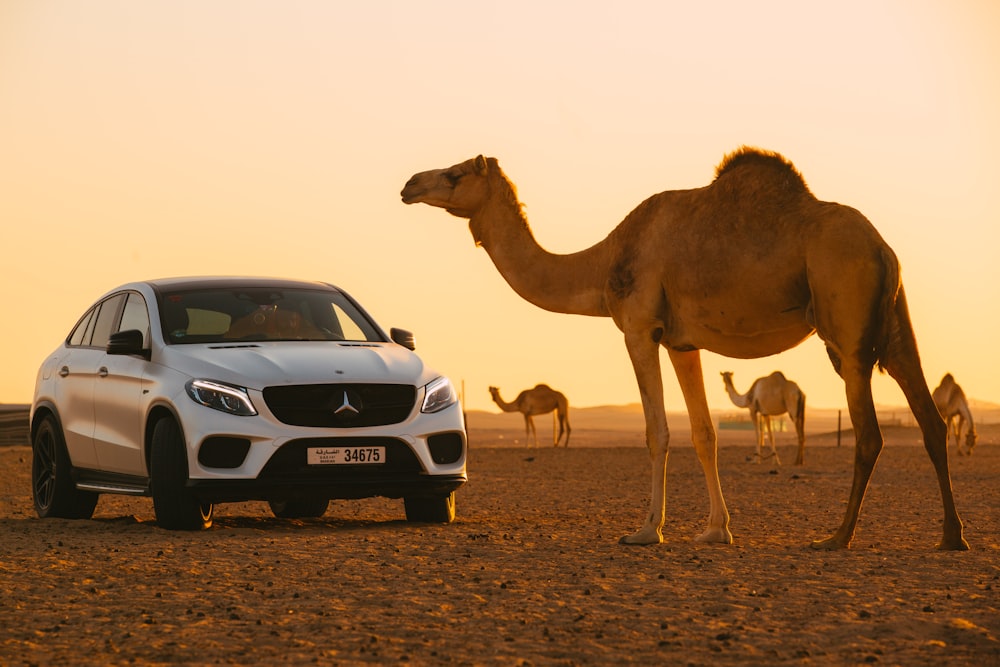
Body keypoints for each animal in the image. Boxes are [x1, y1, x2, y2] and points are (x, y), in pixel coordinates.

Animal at [400, 149, 968, 552]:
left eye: (454, 174)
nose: (409, 185)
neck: (602, 261)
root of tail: (882, 248)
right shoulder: (682, 340)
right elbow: (704, 432)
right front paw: (716, 530)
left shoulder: (638, 328)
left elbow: (658, 432)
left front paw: (646, 530)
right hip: (896, 323)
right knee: (929, 419)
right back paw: (951, 536)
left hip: (845, 326)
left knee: (870, 431)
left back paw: (837, 537)